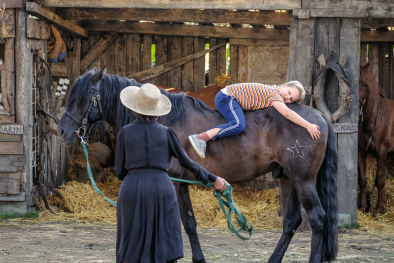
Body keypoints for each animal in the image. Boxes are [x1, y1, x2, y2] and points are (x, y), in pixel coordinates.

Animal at [57, 67, 338, 262]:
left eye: (83, 98)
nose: (62, 131)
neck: (162, 119)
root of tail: (318, 118)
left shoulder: (173, 183)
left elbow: (176, 222)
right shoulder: (180, 183)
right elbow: (189, 223)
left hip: (303, 181)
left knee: (317, 219)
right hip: (288, 179)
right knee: (291, 222)